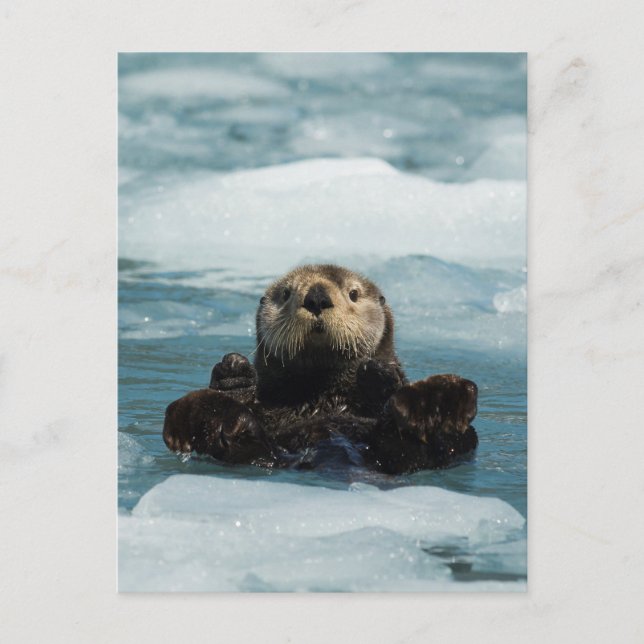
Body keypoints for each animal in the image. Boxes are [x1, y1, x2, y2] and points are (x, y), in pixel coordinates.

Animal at [163, 264, 478, 474]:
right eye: (286, 293)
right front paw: (234, 373)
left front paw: (378, 373)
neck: (323, 398)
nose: (316, 297)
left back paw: (432, 405)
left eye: (353, 293)